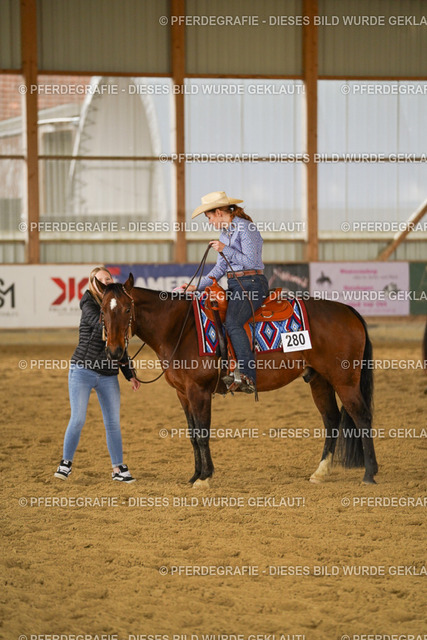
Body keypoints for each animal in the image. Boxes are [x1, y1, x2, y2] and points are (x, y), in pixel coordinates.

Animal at [96, 274, 378, 486]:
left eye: (127, 308)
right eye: (101, 311)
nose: (114, 352)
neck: (180, 328)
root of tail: (348, 310)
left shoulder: (199, 391)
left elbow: (202, 433)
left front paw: (205, 478)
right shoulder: (183, 393)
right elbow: (192, 434)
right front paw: (195, 475)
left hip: (345, 380)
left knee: (362, 417)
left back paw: (369, 473)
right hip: (319, 380)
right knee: (331, 419)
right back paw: (320, 472)